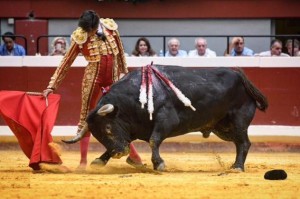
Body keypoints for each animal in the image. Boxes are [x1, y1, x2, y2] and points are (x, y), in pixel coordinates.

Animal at [63, 65, 268, 171]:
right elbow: (129, 141)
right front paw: (100, 160)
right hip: (223, 128)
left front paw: (159, 163)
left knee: (244, 143)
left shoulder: (166, 120)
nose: (118, 153)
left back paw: (237, 166)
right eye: (96, 135)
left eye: (107, 128)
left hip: (239, 121)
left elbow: (154, 140)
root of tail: (239, 74)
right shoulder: (131, 129)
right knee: (239, 142)